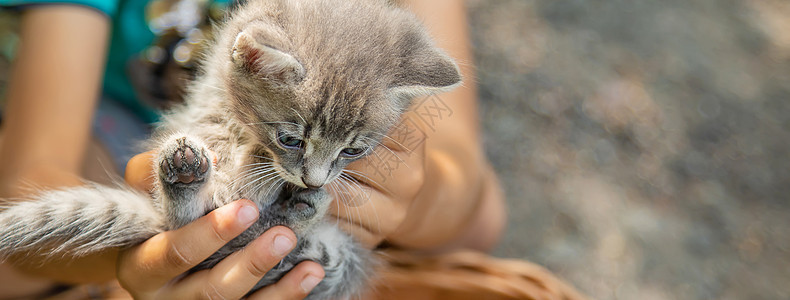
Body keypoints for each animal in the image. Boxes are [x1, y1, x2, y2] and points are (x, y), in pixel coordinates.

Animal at [0, 0, 460, 298]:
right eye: (290, 139)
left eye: (352, 152)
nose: (312, 179)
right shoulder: (208, 94)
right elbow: (221, 150)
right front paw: (248, 173)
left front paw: (266, 177)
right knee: (188, 224)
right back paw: (191, 179)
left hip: (335, 262)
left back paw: (299, 210)